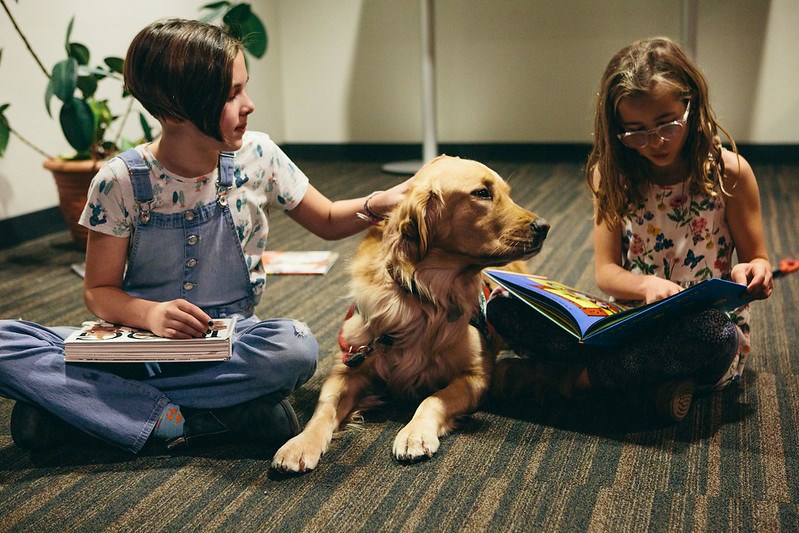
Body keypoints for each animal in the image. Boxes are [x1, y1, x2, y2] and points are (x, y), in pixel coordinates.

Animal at [272, 156, 548, 472]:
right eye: (482, 193)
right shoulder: (349, 365)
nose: (544, 226)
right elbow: (324, 408)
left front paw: (415, 433)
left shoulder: (477, 375)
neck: (424, 297)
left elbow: (432, 398)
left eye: (508, 193)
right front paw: (301, 443)